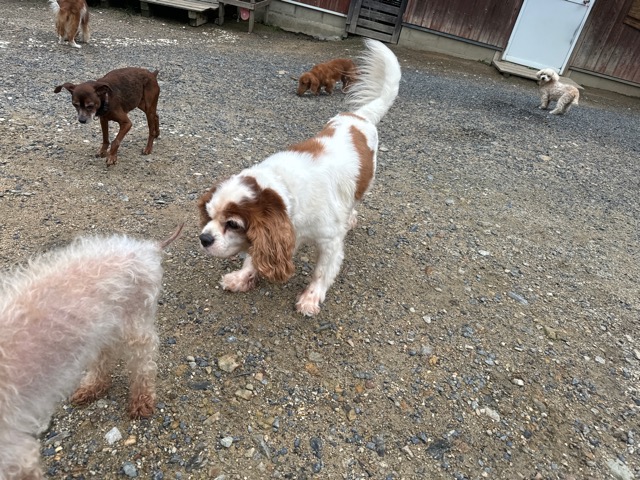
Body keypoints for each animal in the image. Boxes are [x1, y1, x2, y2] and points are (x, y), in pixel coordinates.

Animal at [0, 224, 182, 480]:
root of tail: (145, 247)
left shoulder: (15, 452)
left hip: (136, 324)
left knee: (144, 362)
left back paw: (141, 399)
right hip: (101, 328)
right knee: (104, 357)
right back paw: (92, 388)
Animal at [198, 39, 400, 316]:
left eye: (233, 224)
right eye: (209, 216)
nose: (204, 238)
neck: (286, 190)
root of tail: (359, 116)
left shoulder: (330, 242)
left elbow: (321, 272)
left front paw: (310, 298)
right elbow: (253, 256)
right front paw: (243, 276)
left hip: (364, 184)